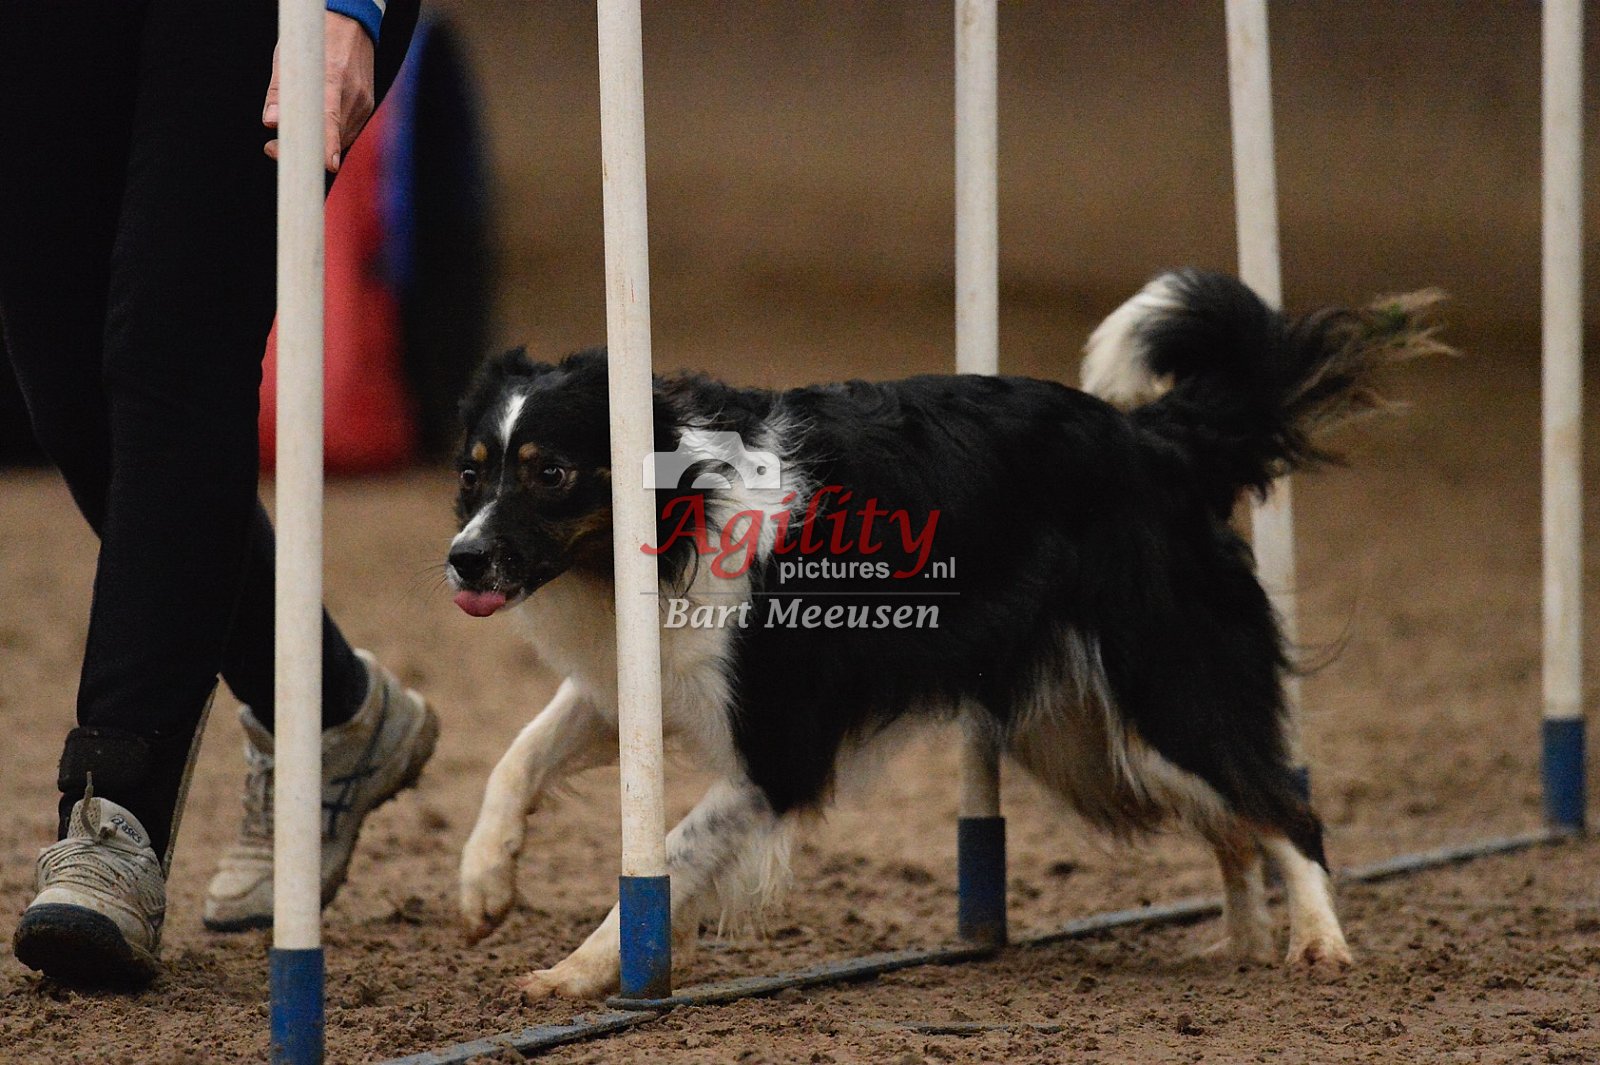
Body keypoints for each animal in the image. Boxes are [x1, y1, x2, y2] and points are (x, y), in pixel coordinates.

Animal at [447, 269, 1446, 999]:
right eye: (472, 472)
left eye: (551, 473)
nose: (462, 561)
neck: (678, 508)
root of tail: (1156, 438)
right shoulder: (646, 674)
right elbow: (519, 754)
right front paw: (484, 881)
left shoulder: (779, 749)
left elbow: (675, 849)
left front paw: (577, 968)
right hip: (1086, 736)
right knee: (1231, 821)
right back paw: (1240, 940)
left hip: (1168, 691)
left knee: (1282, 803)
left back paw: (1317, 943)